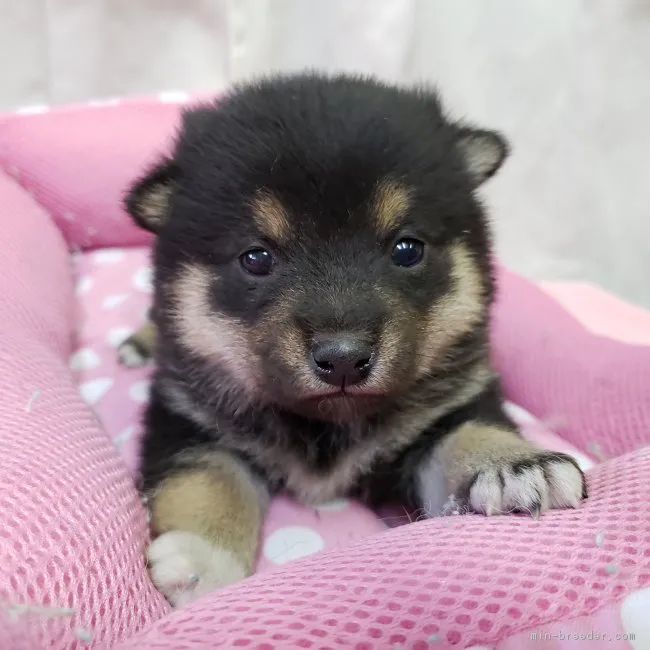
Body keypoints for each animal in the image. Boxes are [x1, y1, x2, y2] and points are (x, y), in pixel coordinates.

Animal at [119, 73, 584, 604]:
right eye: (256, 258)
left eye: (407, 249)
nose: (343, 359)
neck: (325, 424)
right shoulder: (188, 419)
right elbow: (209, 478)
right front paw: (204, 558)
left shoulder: (445, 410)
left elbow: (468, 429)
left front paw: (514, 463)